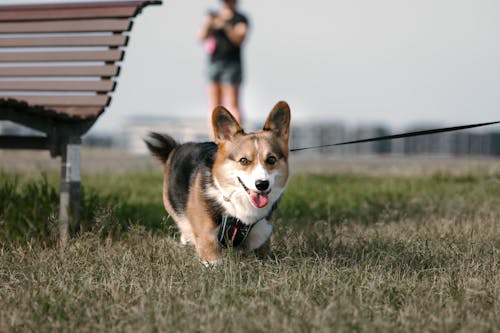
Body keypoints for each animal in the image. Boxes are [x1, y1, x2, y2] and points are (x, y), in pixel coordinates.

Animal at [145, 100, 292, 264]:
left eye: (271, 159)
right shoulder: (207, 238)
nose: (262, 184)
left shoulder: (261, 235)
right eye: (244, 160)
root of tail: (176, 147)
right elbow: (214, 261)